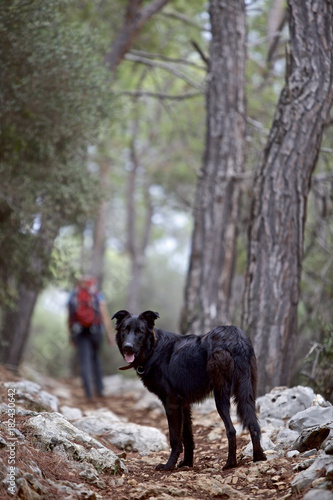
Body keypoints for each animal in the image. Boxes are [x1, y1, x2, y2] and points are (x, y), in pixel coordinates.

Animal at [113, 310, 266, 470]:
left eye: (140, 332)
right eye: (125, 330)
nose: (128, 347)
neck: (153, 349)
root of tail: (236, 338)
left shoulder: (171, 403)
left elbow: (175, 438)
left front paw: (169, 465)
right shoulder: (184, 404)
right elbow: (187, 436)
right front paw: (187, 462)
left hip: (220, 396)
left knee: (231, 430)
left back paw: (230, 463)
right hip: (247, 395)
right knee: (254, 425)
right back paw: (258, 458)